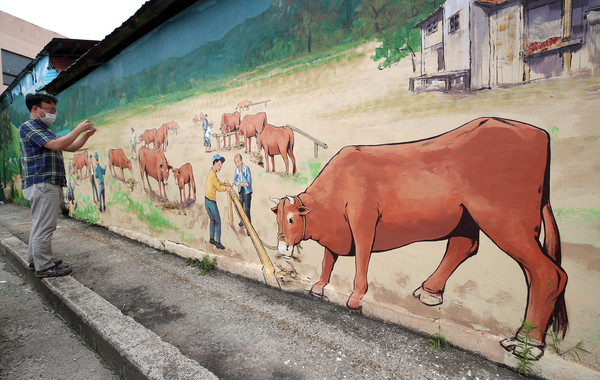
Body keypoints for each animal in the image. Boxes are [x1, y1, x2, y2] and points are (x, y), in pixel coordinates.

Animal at [272, 117, 568, 360]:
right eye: (277, 218)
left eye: (291, 219)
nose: (282, 246)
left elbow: (361, 260)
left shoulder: (363, 222)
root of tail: (536, 132)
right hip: (468, 217)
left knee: (548, 272)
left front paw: (355, 298)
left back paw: (526, 343)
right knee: (467, 246)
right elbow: (328, 260)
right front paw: (319, 286)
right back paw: (430, 291)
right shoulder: (337, 236)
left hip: (506, 219)